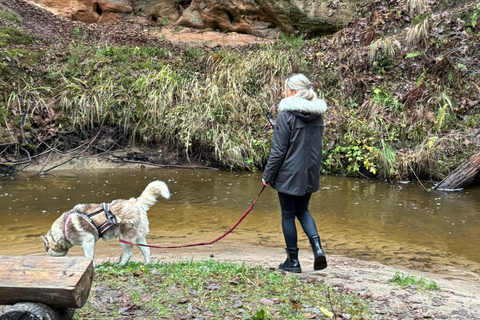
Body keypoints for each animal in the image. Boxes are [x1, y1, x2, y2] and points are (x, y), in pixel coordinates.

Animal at [40, 180, 171, 264]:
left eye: (47, 249)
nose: (47, 256)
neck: (63, 230)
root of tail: (136, 202)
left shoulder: (88, 241)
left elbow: (89, 257)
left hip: (124, 237)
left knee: (128, 254)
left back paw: (119, 265)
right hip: (138, 237)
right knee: (147, 250)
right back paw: (147, 264)